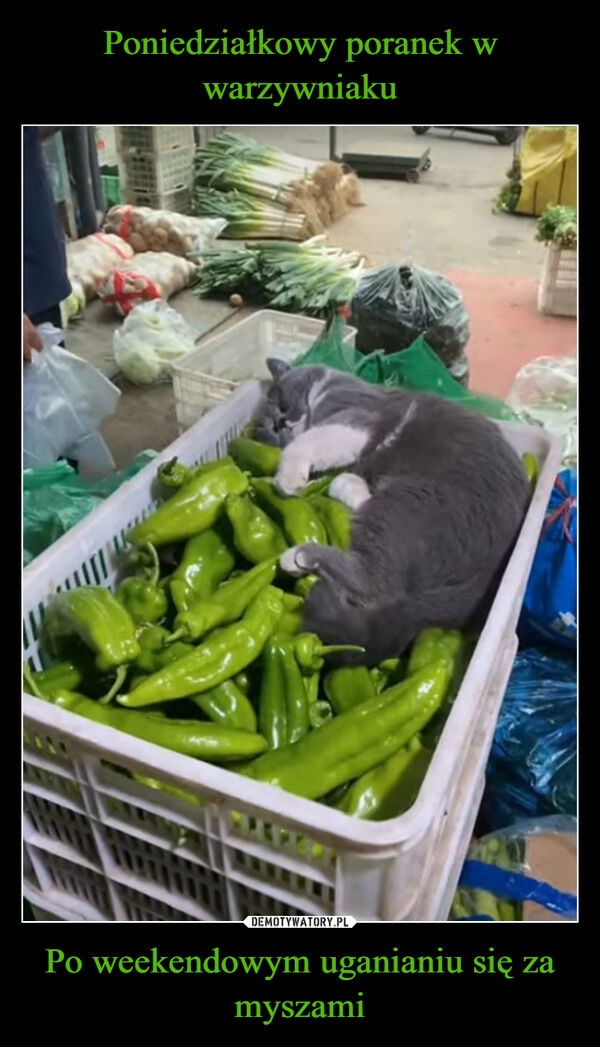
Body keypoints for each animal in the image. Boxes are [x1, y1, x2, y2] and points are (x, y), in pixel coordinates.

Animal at [256, 360, 527, 665]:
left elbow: (303, 444)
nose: (280, 422)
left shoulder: (357, 417)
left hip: (404, 505)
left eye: (281, 402)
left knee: (375, 582)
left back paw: (298, 556)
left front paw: (288, 481)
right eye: (269, 428)